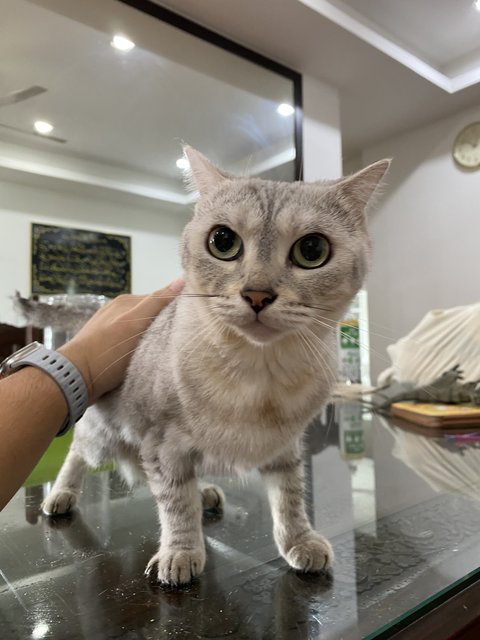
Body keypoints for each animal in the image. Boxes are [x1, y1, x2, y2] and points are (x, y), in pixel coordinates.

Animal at [40, 145, 390, 584]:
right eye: (222, 241)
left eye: (312, 250)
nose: (257, 294)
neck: (259, 376)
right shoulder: (163, 444)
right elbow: (176, 505)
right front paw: (181, 553)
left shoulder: (286, 446)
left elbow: (290, 497)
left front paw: (299, 541)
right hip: (102, 436)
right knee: (77, 454)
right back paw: (60, 495)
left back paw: (205, 490)